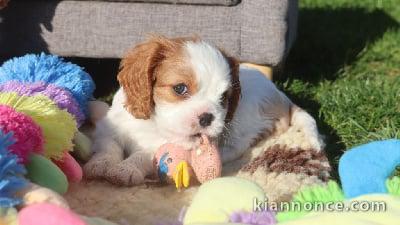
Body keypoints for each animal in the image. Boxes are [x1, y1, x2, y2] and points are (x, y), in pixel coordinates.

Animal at [83, 36, 324, 185]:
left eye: (224, 98)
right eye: (180, 88)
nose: (207, 117)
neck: (152, 124)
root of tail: (282, 96)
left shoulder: (163, 147)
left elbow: (143, 155)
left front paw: (127, 169)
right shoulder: (109, 129)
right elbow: (109, 147)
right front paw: (100, 165)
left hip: (242, 126)